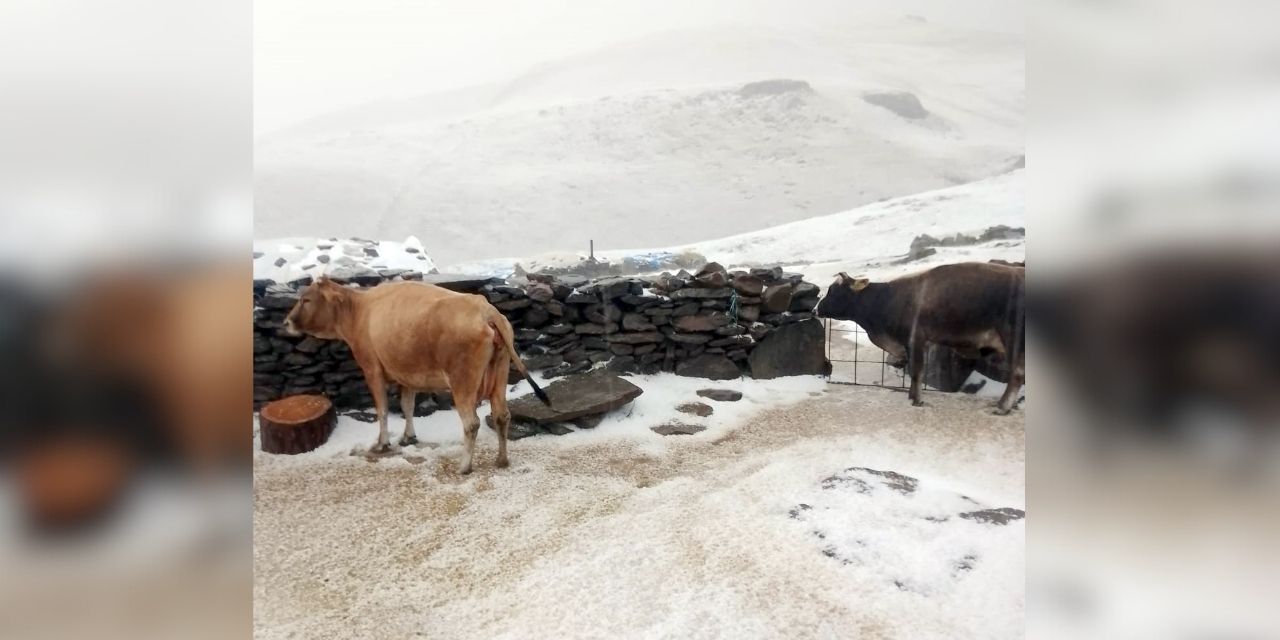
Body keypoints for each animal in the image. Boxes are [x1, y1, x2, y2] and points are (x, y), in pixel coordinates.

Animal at [282, 277, 547, 473]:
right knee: (502, 416)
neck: (359, 311)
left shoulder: (371, 368)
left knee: (471, 423)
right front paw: (409, 437)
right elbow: (407, 406)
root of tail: (485, 309)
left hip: (463, 381)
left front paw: (382, 443)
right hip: (499, 374)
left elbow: (383, 410)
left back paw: (464, 467)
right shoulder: (406, 374)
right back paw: (501, 460)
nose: (286, 322)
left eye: (306, 299)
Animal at [814, 262, 1024, 412]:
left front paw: (916, 400)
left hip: (1013, 339)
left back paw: (1002, 407)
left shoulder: (916, 338)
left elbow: (916, 371)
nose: (816, 309)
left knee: (1017, 375)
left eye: (833, 291)